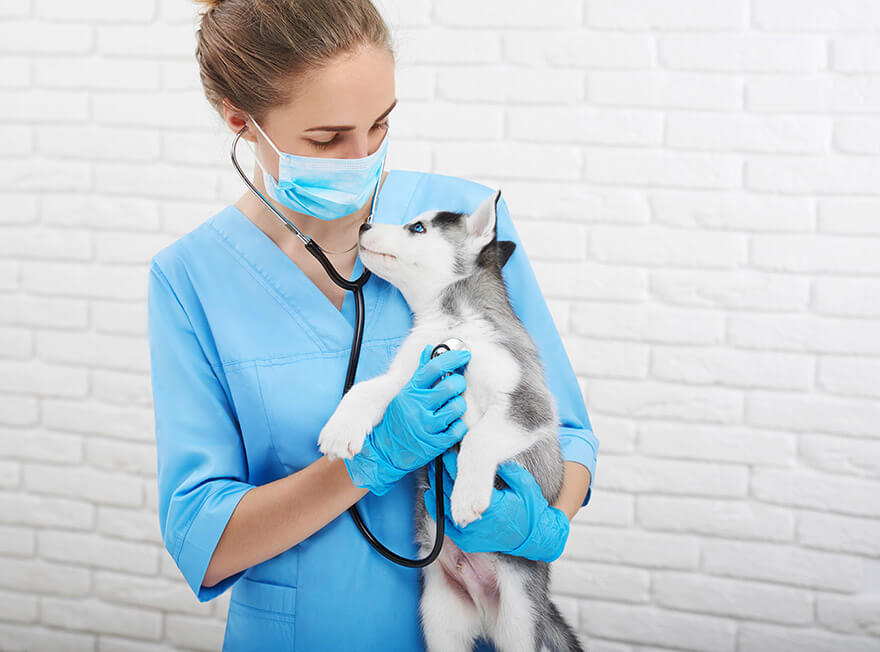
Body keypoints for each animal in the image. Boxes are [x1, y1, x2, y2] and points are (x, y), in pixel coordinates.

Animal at [318, 190, 584, 652]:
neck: (451, 324)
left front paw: (466, 497)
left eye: (418, 227)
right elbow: (366, 389)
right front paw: (341, 429)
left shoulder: (529, 403)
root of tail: (483, 607)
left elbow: (479, 440)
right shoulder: (410, 380)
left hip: (519, 621)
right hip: (439, 617)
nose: (363, 226)